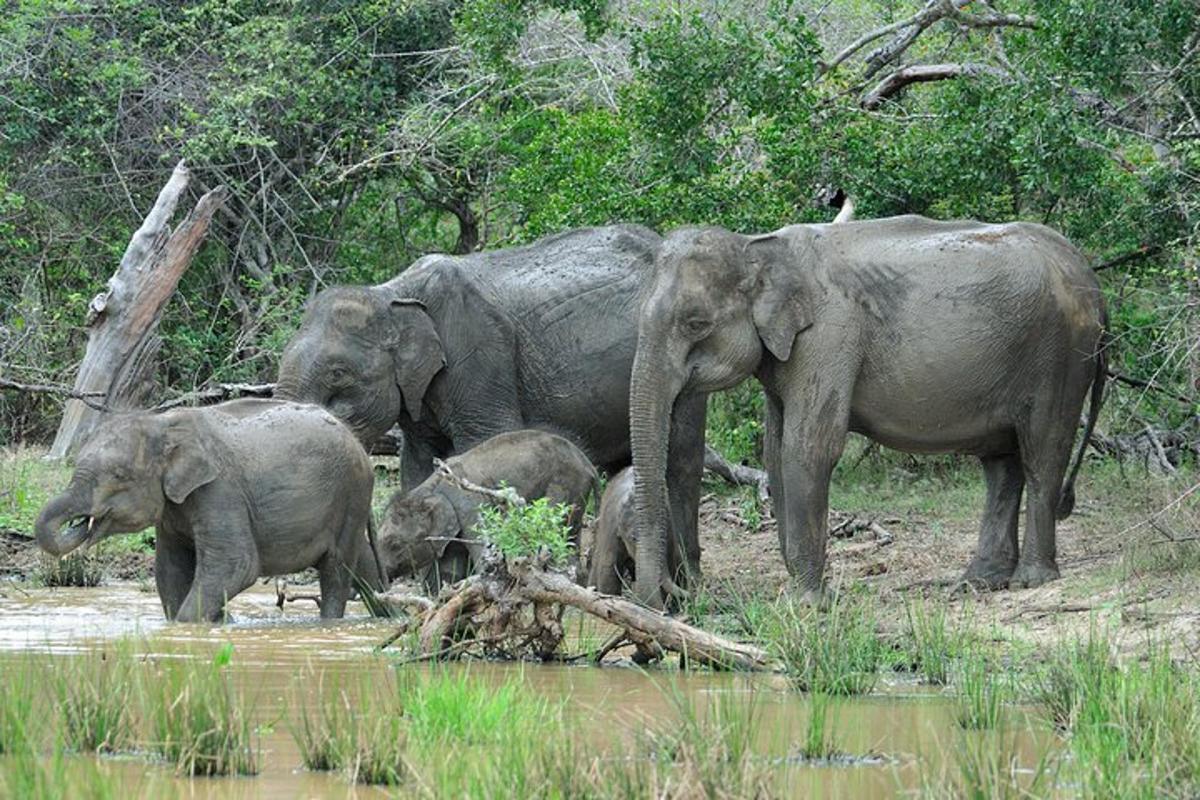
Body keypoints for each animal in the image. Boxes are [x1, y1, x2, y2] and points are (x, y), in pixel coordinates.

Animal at [35, 402, 384, 623]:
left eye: (120, 476)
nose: (83, 523)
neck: (163, 423)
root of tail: (359, 445)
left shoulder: (219, 491)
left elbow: (236, 565)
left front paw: (197, 625)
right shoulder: (173, 508)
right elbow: (170, 571)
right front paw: (216, 622)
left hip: (350, 492)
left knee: (336, 570)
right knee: (362, 561)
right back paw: (388, 614)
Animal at [376, 431, 597, 594]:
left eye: (395, 544)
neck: (430, 488)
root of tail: (589, 464)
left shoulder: (470, 505)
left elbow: (483, 552)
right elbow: (450, 567)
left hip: (565, 486)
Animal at [628, 215, 1104, 609]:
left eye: (695, 324)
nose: (671, 597)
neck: (757, 245)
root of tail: (1091, 277)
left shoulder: (829, 338)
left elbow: (808, 448)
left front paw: (807, 604)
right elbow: (775, 452)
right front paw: (802, 592)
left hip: (1060, 356)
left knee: (1042, 451)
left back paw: (1031, 581)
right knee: (1002, 464)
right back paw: (977, 583)